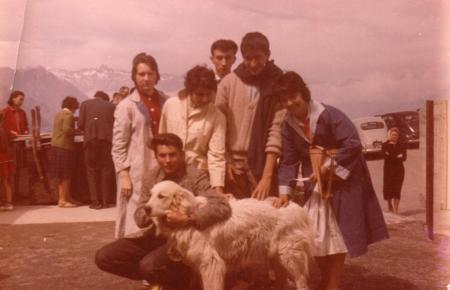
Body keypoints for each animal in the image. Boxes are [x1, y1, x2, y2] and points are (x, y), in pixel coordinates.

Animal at [146, 180, 314, 288]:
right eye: (151, 194)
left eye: (161, 196)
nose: (146, 208)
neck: (187, 214)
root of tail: (298, 208)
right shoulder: (200, 266)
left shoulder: (211, 264)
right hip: (276, 258)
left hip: (291, 257)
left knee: (302, 282)